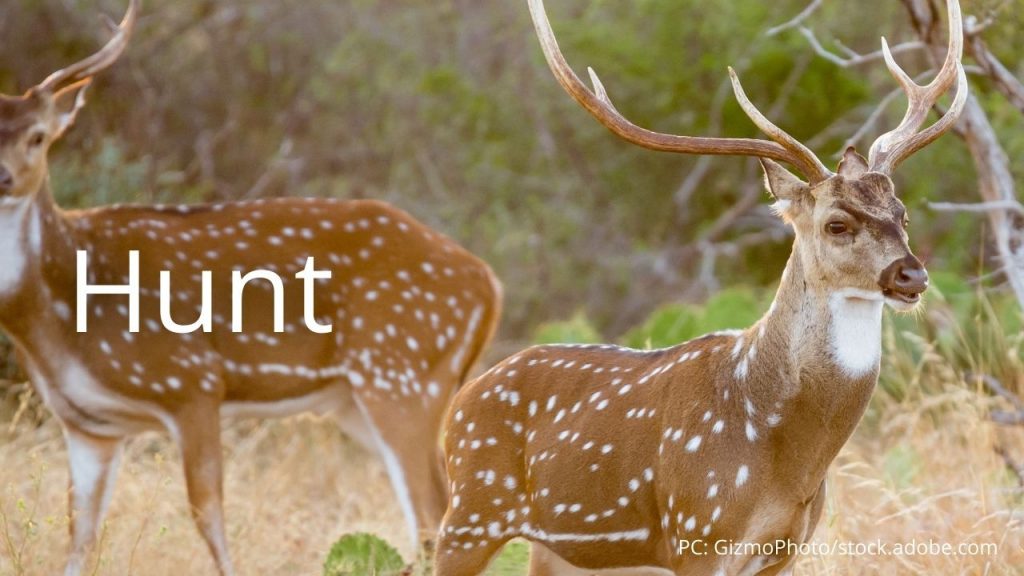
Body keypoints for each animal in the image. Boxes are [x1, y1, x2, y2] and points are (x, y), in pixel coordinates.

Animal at [0, 1, 503, 574]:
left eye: (39, 136)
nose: (4, 177)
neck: (60, 322)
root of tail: (489, 284)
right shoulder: (88, 425)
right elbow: (80, 537)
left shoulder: (191, 381)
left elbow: (208, 515)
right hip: (358, 400)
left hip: (402, 375)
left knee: (432, 518)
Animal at [436, 0, 966, 573]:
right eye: (836, 224)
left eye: (902, 214)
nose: (911, 275)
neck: (790, 462)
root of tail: (456, 406)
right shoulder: (698, 530)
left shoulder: (788, 547)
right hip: (471, 511)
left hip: (558, 548)